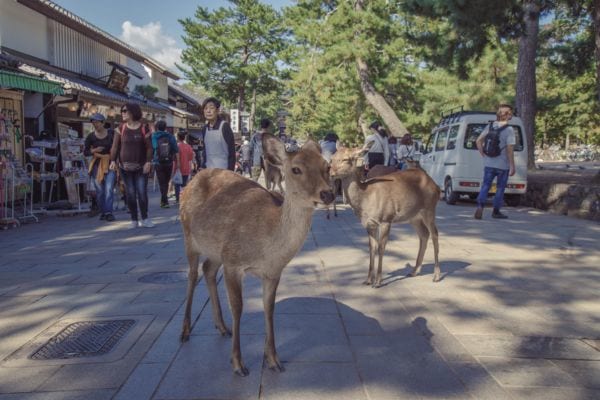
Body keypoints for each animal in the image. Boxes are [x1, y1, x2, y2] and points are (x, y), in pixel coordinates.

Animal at [180, 134, 336, 376]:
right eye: (296, 169)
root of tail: (194, 178)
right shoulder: (233, 262)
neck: (266, 248)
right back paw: (185, 331)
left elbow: (269, 308)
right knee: (191, 275)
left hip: (215, 250)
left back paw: (222, 327)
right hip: (189, 235)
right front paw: (238, 364)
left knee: (208, 270)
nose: (327, 193)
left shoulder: (272, 272)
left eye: (326, 166)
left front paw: (273, 360)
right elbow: (238, 308)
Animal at [328, 147, 440, 288]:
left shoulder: (386, 218)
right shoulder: (369, 223)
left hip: (429, 209)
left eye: (346, 159)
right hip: (414, 216)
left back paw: (436, 276)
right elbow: (372, 248)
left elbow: (381, 247)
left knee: (435, 233)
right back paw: (414, 271)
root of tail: (436, 186)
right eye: (332, 157)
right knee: (424, 234)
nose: (331, 173)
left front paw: (378, 281)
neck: (366, 198)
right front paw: (368, 280)